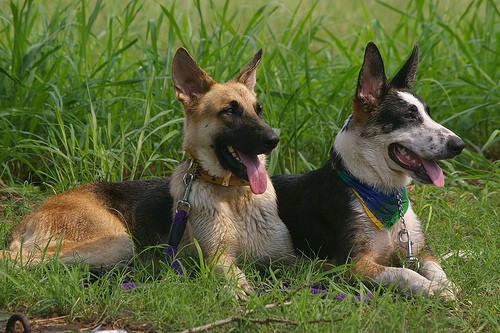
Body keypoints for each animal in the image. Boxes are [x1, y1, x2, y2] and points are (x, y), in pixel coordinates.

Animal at [2, 48, 292, 294]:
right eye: (230, 110)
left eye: (258, 110)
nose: (273, 140)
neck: (233, 197)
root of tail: (32, 215)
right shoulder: (218, 258)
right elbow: (234, 276)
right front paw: (242, 292)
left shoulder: (288, 256)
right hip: (117, 243)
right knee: (16, 258)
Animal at [274, 42, 464, 300]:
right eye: (409, 115)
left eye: (428, 113)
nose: (459, 145)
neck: (378, 189)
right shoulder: (353, 265)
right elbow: (405, 273)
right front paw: (431, 288)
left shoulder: (420, 250)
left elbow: (436, 268)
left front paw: (446, 285)